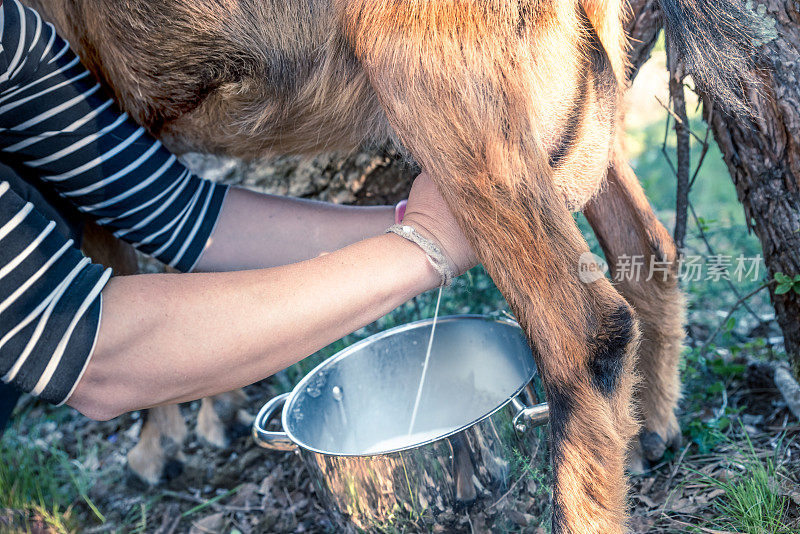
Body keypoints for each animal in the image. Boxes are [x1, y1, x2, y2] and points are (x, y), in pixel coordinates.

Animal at [25, 0, 760, 532]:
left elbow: (123, 267)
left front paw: (158, 446)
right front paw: (215, 411)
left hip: (445, 88)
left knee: (580, 333)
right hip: (569, 98)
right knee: (646, 247)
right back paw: (650, 431)